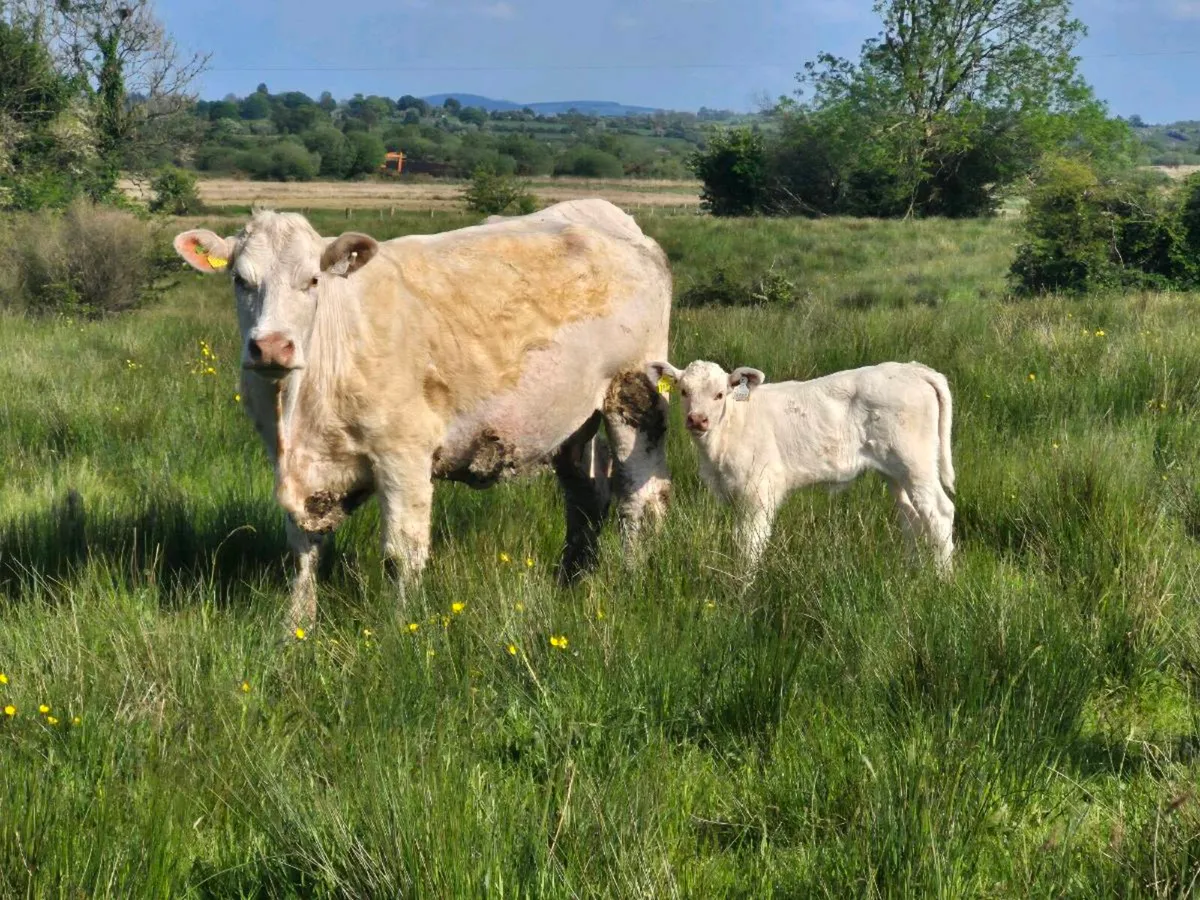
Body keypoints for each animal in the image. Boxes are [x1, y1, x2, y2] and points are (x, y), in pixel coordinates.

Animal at [173, 200, 673, 628]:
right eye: (240, 280)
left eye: (313, 280)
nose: (272, 346)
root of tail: (614, 219)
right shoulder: (297, 471)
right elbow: (303, 550)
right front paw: (297, 626)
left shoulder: (403, 456)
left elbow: (401, 553)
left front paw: (402, 630)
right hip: (570, 421)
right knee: (586, 497)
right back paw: (571, 579)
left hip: (632, 394)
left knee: (638, 497)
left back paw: (630, 578)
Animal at [646, 359, 955, 572]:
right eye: (684, 391)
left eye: (720, 394)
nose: (697, 419)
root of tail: (913, 369)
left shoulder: (759, 491)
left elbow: (750, 545)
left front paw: (743, 591)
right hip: (895, 471)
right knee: (912, 518)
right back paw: (912, 573)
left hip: (916, 463)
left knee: (939, 513)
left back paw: (943, 578)